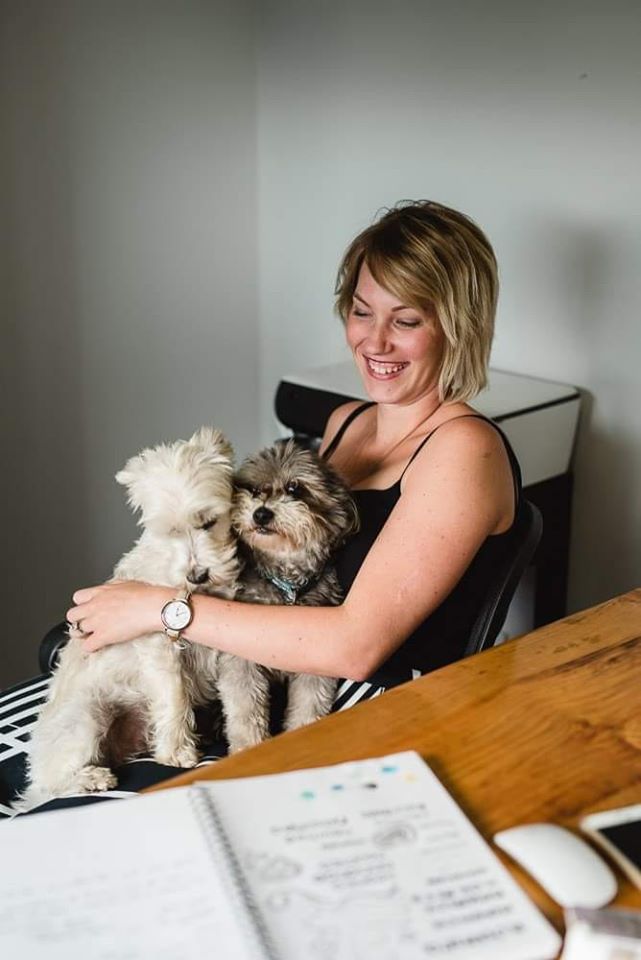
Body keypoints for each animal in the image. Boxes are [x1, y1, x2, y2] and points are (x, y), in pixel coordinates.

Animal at [21, 428, 240, 808]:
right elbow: (175, 696)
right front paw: (177, 751)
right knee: (55, 783)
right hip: (85, 716)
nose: (197, 575)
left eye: (209, 522)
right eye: (166, 531)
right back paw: (91, 777)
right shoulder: (161, 649)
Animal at [221, 438, 358, 752]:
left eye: (295, 488)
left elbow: (309, 705)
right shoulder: (240, 661)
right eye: (254, 490)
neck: (285, 583)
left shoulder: (315, 664)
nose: (261, 513)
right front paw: (248, 747)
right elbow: (245, 709)